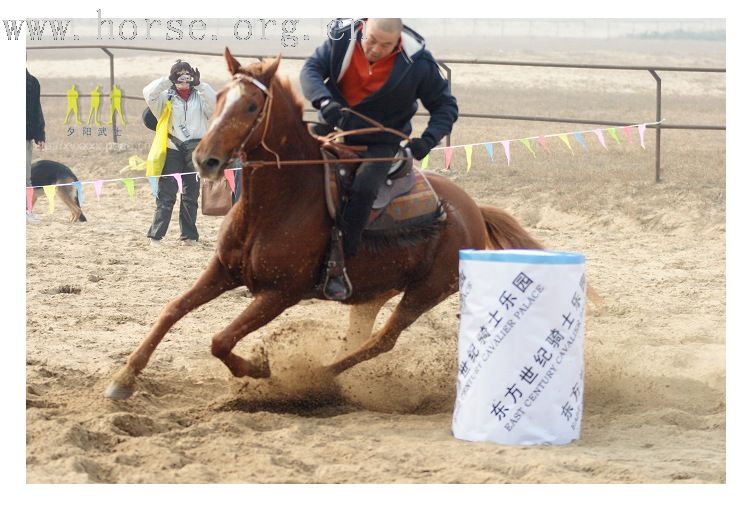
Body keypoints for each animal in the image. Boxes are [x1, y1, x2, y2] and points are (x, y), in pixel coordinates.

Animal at [103, 48, 544, 400]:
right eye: (221, 99)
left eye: (251, 107)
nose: (204, 159)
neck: (277, 205)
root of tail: (473, 209)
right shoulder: (223, 271)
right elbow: (172, 310)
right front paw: (123, 378)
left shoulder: (280, 293)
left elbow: (220, 340)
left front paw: (260, 370)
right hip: (375, 291)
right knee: (362, 337)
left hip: (426, 292)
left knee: (382, 341)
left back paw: (315, 380)